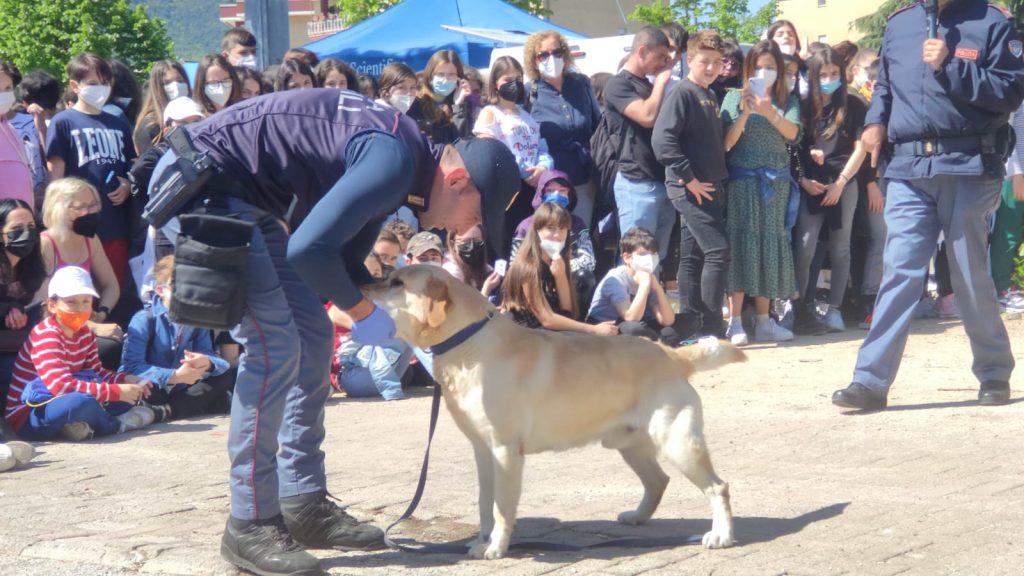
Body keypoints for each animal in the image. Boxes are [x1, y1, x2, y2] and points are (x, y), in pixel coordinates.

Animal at [368, 264, 745, 557]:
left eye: (397, 282)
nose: (367, 282)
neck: (468, 342)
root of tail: (673, 354)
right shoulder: (482, 450)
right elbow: (485, 504)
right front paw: (481, 541)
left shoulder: (505, 451)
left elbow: (502, 508)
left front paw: (496, 548)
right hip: (629, 444)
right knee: (659, 480)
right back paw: (637, 517)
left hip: (677, 442)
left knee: (719, 487)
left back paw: (721, 536)